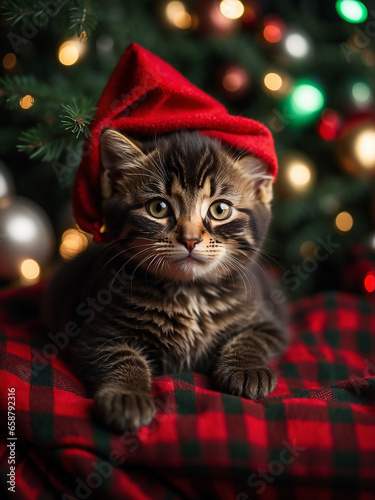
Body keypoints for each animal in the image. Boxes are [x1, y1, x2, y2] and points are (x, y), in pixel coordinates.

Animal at [47, 131, 288, 432]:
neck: (190, 293)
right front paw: (127, 396)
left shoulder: (271, 322)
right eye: (158, 208)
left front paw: (247, 369)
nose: (190, 239)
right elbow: (121, 357)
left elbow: (252, 338)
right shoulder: (96, 335)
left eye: (220, 210)